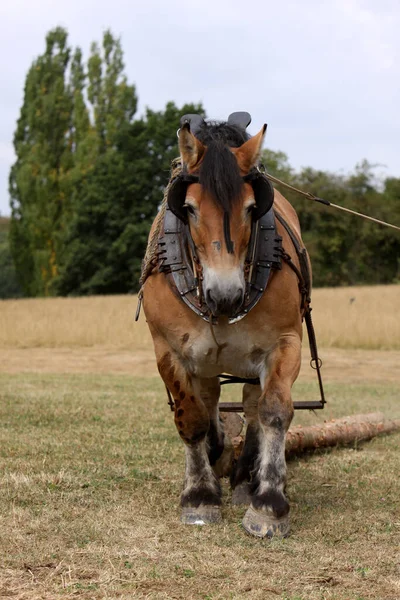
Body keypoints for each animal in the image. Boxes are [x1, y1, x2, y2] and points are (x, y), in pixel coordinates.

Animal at [142, 113, 310, 540]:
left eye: (252, 208)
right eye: (188, 208)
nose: (226, 295)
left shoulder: (284, 343)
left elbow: (273, 411)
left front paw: (268, 502)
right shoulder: (170, 350)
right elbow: (192, 417)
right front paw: (199, 495)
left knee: (251, 406)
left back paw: (245, 475)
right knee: (210, 398)